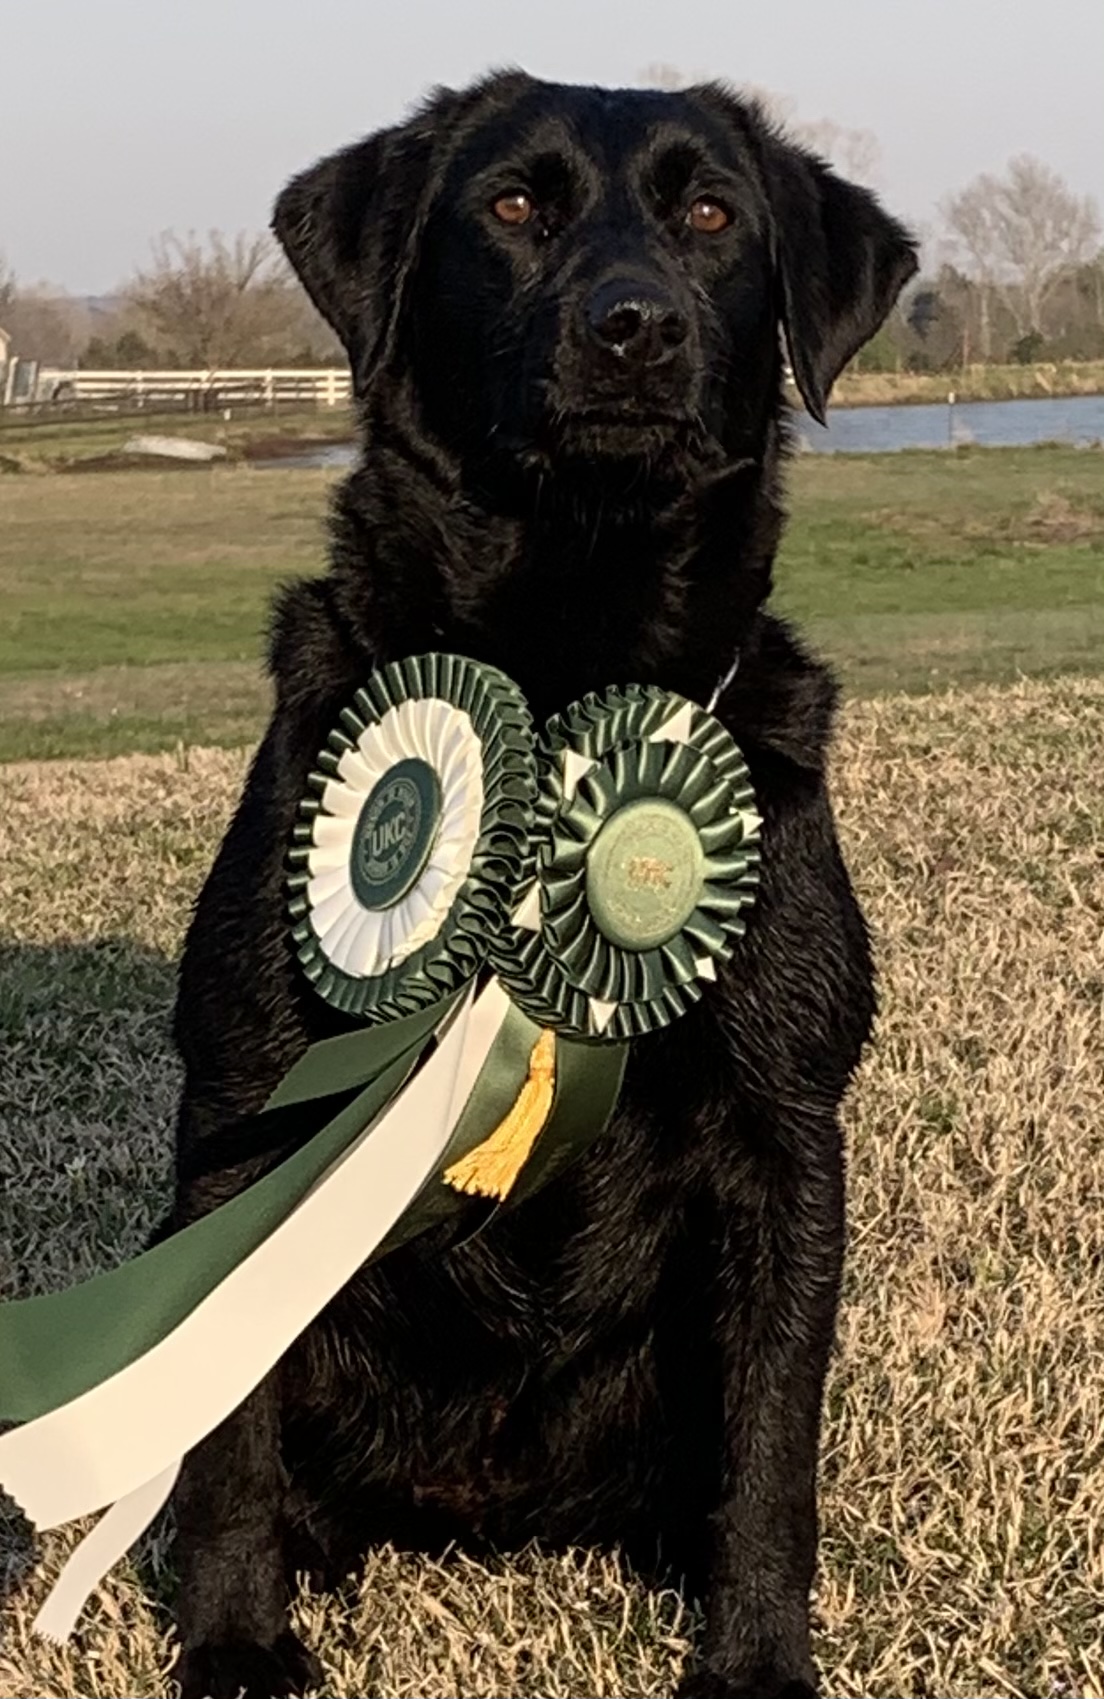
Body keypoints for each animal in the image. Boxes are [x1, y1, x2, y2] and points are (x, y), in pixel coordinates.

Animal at [167, 69, 917, 1699]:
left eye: (713, 215)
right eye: (513, 204)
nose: (634, 326)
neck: (569, 667)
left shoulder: (785, 1131)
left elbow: (773, 1451)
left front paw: (756, 1659)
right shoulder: (246, 1104)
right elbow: (228, 1433)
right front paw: (239, 1641)